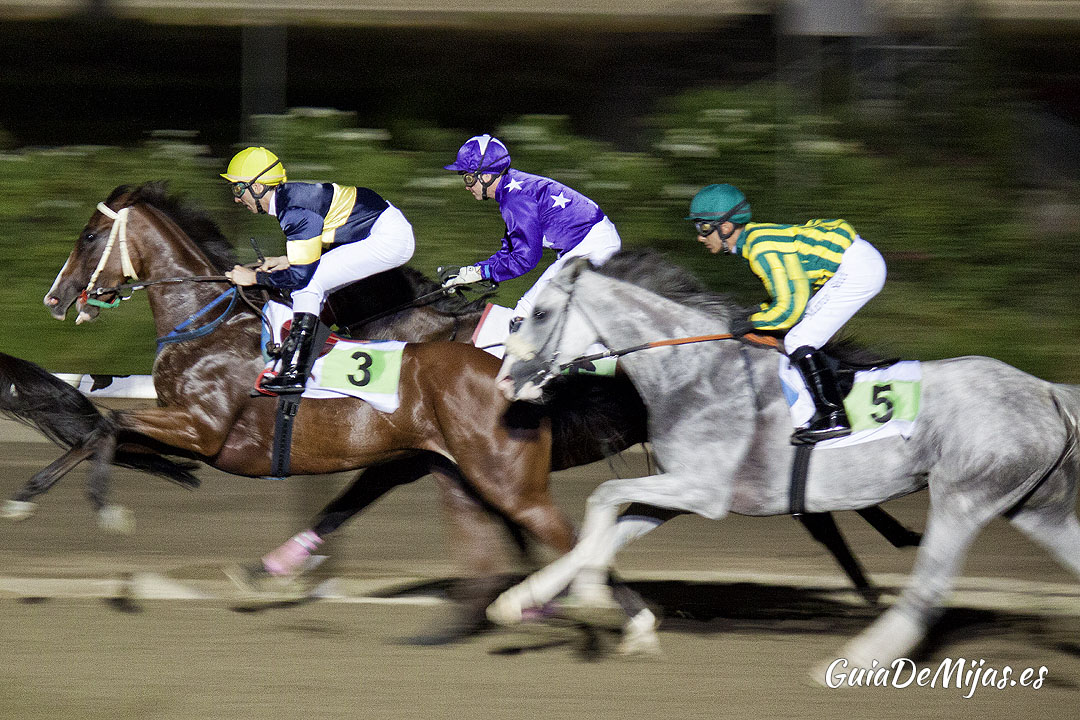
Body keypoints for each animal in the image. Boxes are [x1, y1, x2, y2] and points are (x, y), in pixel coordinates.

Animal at [490, 252, 1080, 669]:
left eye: (537, 314)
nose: (504, 382)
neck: (693, 372)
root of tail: (1046, 390)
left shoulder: (701, 491)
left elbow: (603, 496)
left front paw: (588, 596)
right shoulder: (680, 492)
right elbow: (605, 532)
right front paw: (520, 600)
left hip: (963, 497)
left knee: (931, 585)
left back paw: (857, 659)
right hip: (1033, 504)